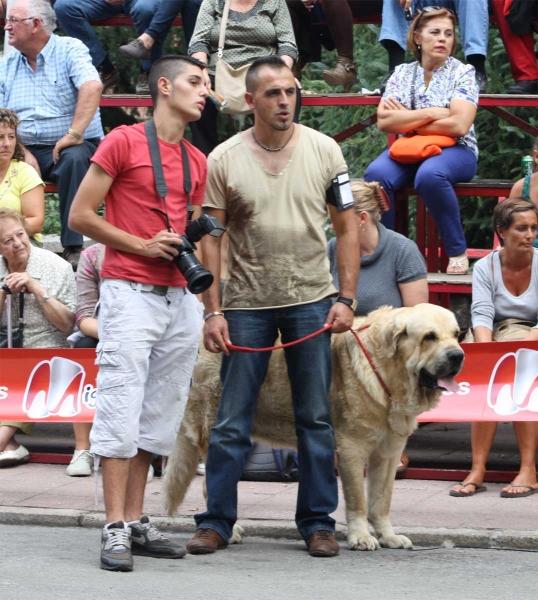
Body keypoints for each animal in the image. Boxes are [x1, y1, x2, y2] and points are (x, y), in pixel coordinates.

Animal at [163, 304, 460, 552]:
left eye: (456, 334)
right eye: (429, 337)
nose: (458, 355)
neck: (388, 371)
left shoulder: (388, 453)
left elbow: (381, 501)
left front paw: (388, 536)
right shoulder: (351, 449)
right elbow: (358, 500)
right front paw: (361, 537)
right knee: (210, 485)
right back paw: (227, 530)